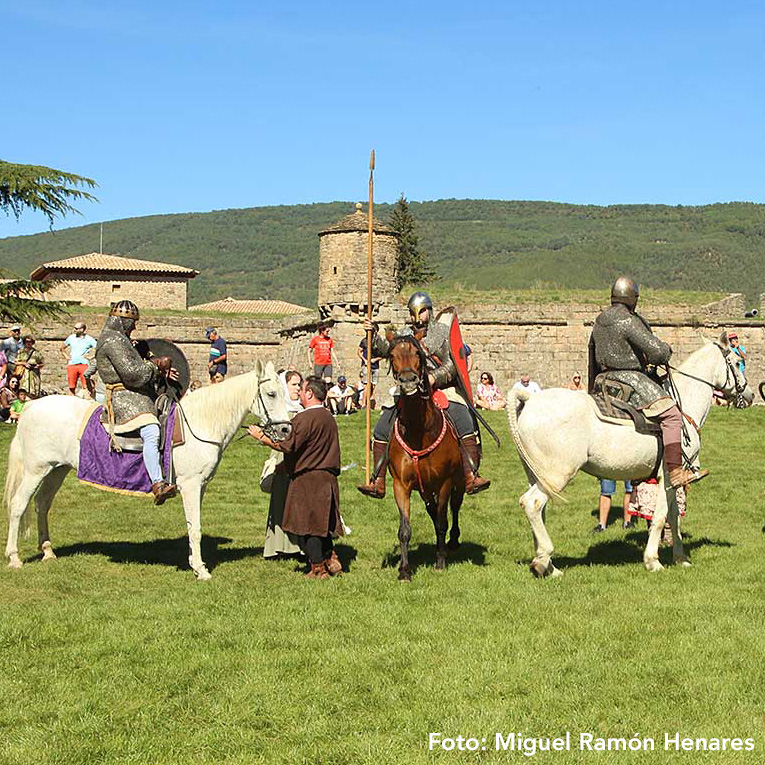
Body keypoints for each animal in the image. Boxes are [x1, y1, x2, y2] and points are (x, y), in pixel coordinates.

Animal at [5, 360, 290, 580]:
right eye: (271, 394)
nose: (286, 429)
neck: (201, 422)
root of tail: (31, 406)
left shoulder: (200, 486)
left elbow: (193, 525)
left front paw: (195, 563)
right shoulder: (190, 484)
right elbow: (195, 527)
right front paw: (201, 570)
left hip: (56, 470)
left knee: (42, 504)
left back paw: (48, 551)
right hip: (35, 470)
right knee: (19, 506)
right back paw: (14, 557)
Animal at [390, 338, 462, 580]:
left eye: (417, 354)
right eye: (391, 355)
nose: (408, 381)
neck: (419, 431)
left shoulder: (445, 482)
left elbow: (441, 522)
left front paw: (440, 561)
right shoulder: (401, 485)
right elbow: (404, 530)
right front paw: (404, 570)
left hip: (458, 482)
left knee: (454, 507)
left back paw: (453, 541)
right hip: (425, 489)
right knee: (432, 510)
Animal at [508, 332, 752, 576]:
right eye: (736, 361)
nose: (749, 395)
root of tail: (531, 398)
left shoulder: (673, 480)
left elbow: (674, 516)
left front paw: (680, 558)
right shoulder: (667, 475)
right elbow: (660, 516)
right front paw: (653, 561)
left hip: (538, 475)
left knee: (540, 511)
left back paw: (548, 566)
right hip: (557, 474)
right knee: (532, 504)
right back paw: (543, 561)